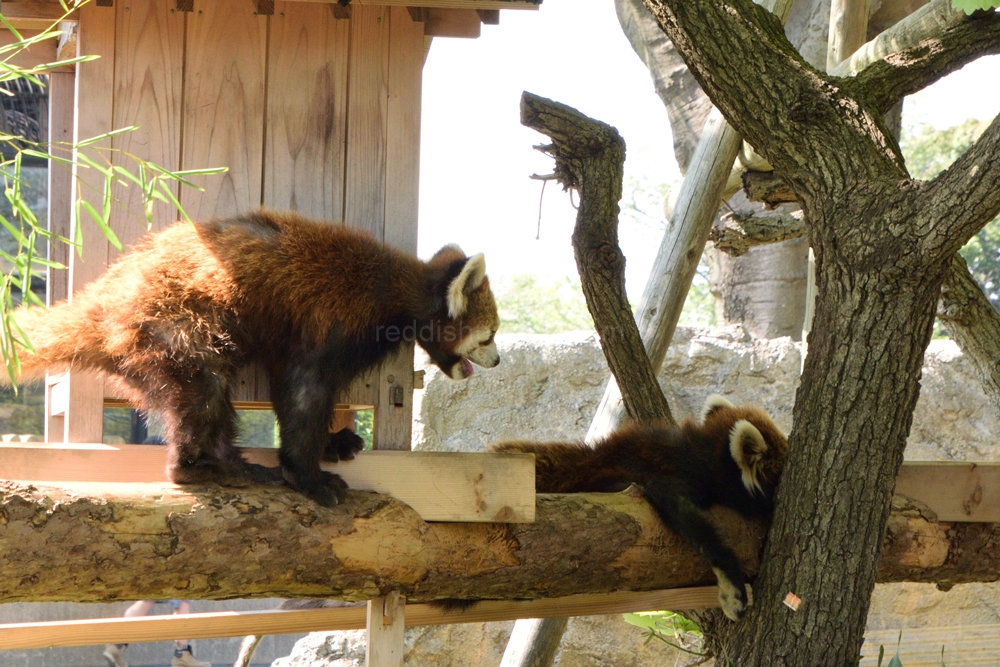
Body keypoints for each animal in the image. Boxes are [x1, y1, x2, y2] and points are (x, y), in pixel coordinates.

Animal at [9, 211, 500, 508]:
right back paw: (214, 468)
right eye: (490, 336)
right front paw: (310, 476)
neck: (398, 290)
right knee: (202, 392)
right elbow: (305, 393)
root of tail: (105, 298)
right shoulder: (333, 321)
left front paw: (334, 442)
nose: (496, 362)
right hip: (173, 328)